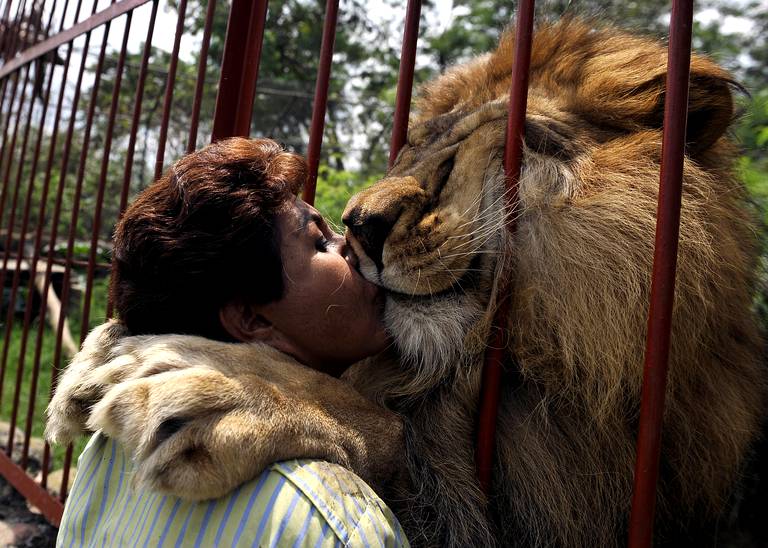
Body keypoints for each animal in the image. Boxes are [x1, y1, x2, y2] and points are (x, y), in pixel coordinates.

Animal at [49, 19, 768, 544]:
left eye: (463, 155)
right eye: (415, 148)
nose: (358, 228)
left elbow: (388, 425)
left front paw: (223, 392)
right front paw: (102, 355)